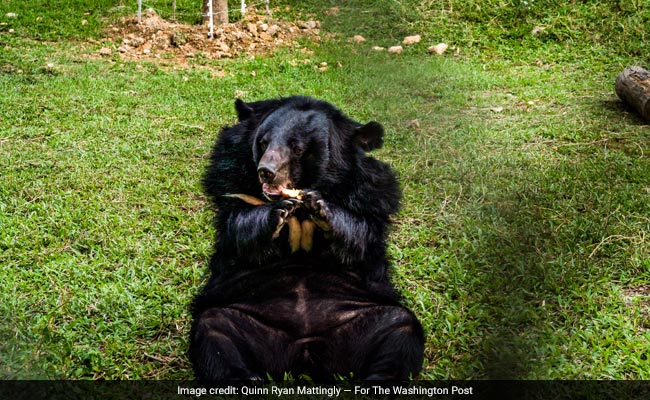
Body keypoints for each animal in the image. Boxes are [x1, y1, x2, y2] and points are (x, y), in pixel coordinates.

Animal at [189, 96, 424, 381]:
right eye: (263, 143)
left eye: (298, 148)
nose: (266, 171)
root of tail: (305, 351)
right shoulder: (230, 179)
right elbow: (238, 228)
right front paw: (278, 212)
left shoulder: (370, 192)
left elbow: (362, 234)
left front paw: (320, 208)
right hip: (242, 314)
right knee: (213, 330)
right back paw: (246, 379)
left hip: (363, 318)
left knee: (400, 328)